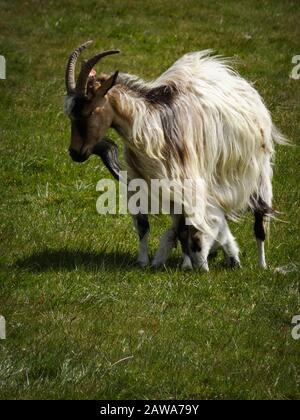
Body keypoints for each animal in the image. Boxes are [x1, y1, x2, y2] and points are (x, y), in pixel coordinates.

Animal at [63, 41, 286, 270]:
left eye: (89, 111)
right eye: (70, 114)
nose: (75, 152)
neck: (153, 125)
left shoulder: (187, 180)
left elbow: (187, 226)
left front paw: (193, 265)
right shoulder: (144, 180)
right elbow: (149, 224)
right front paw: (148, 261)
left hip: (258, 170)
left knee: (260, 215)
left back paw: (261, 263)